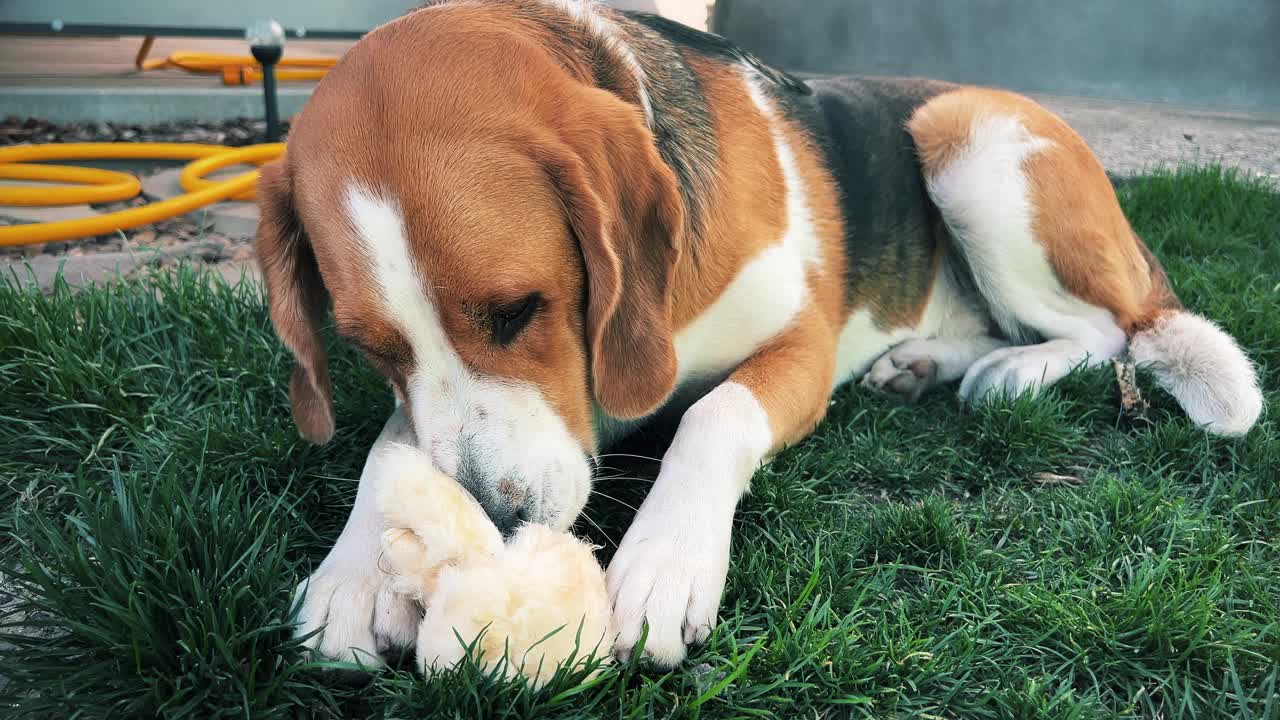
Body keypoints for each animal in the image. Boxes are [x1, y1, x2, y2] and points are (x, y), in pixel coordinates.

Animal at [257, 0, 1259, 666]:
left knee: (1112, 332)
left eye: (519, 310)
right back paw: (922, 360)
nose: (498, 525)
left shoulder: (801, 350)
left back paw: (1012, 374)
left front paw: (664, 564)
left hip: (967, 140)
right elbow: (392, 444)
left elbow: (715, 416)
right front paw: (352, 575)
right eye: (371, 350)